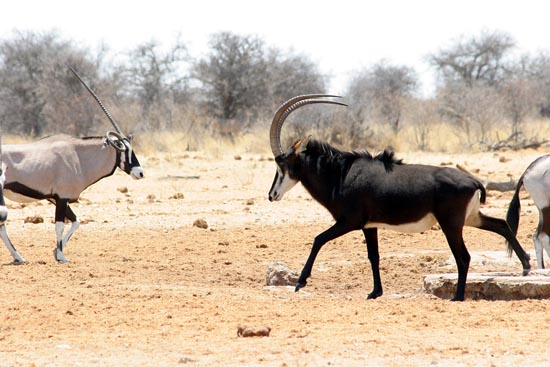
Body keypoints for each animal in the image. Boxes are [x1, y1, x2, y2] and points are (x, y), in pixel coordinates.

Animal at [270, 95, 532, 302]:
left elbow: (318, 240)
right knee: (501, 224)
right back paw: (527, 266)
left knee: (464, 256)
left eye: (282, 164)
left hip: (451, 224)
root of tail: (474, 181)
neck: (341, 174)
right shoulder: (369, 226)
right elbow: (373, 256)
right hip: (471, 218)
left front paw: (300, 282)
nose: (272, 195)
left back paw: (458, 296)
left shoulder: (349, 222)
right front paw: (375, 292)